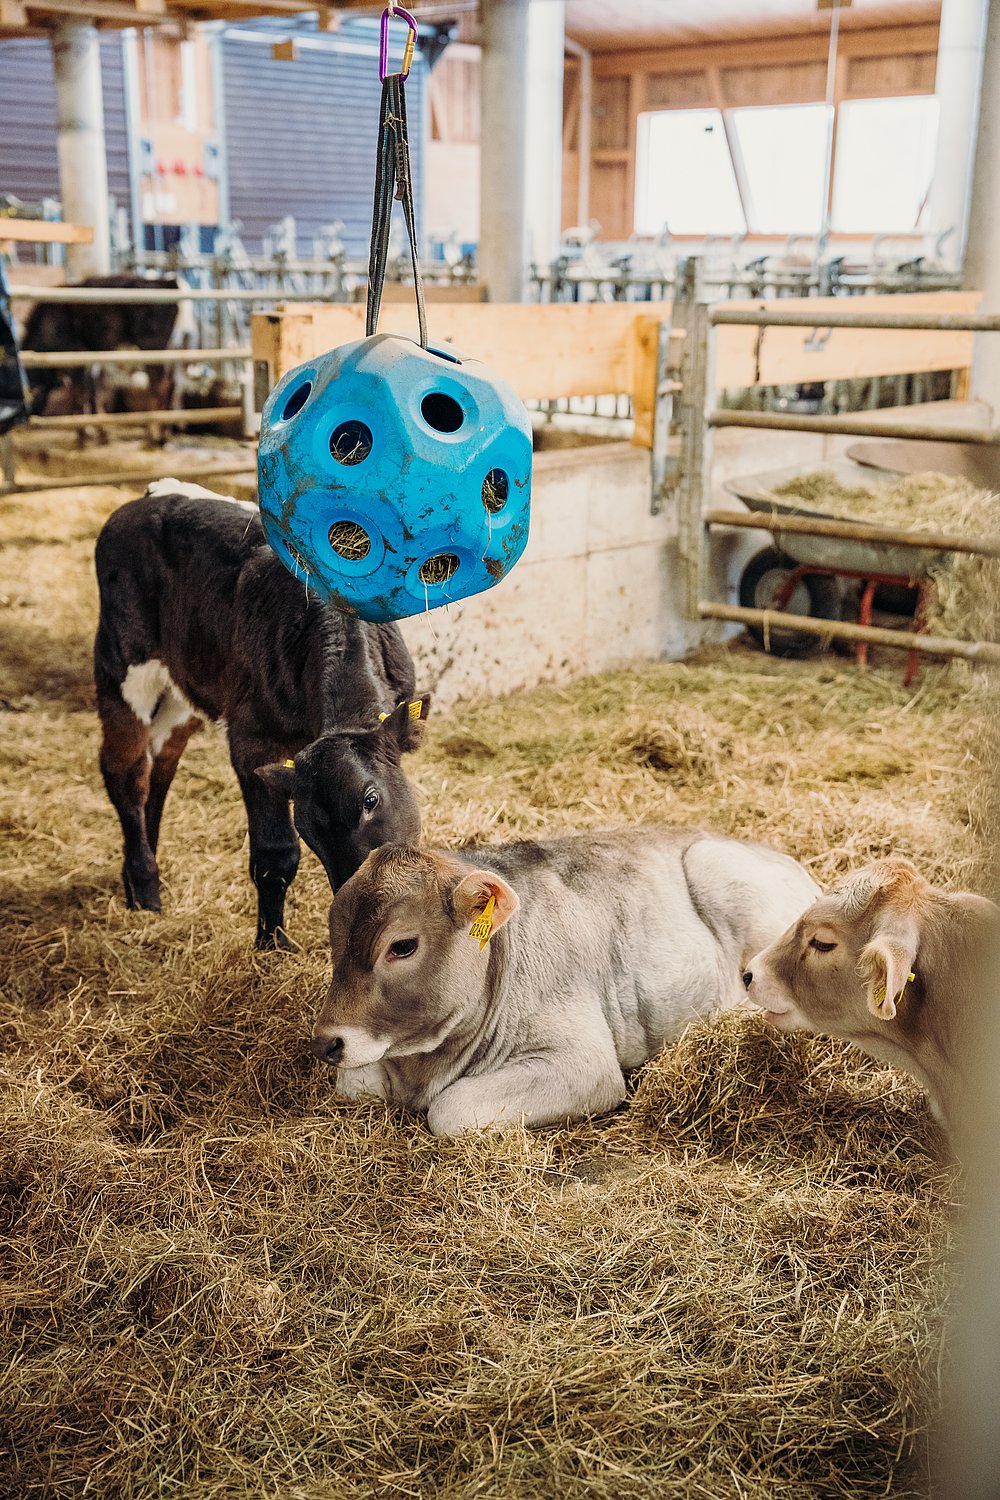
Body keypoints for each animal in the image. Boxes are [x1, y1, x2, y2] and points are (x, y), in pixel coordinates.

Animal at [94, 480, 434, 948]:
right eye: (309, 828)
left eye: (370, 800)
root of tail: (149, 496)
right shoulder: (253, 737)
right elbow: (275, 854)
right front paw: (271, 944)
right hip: (123, 664)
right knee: (127, 774)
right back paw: (144, 887)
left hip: (184, 686)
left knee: (159, 765)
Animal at [313, 828, 821, 1128]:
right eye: (333, 934)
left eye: (402, 946)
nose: (325, 1043)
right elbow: (355, 1085)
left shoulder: (586, 1064)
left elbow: (450, 1110)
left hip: (720, 872)